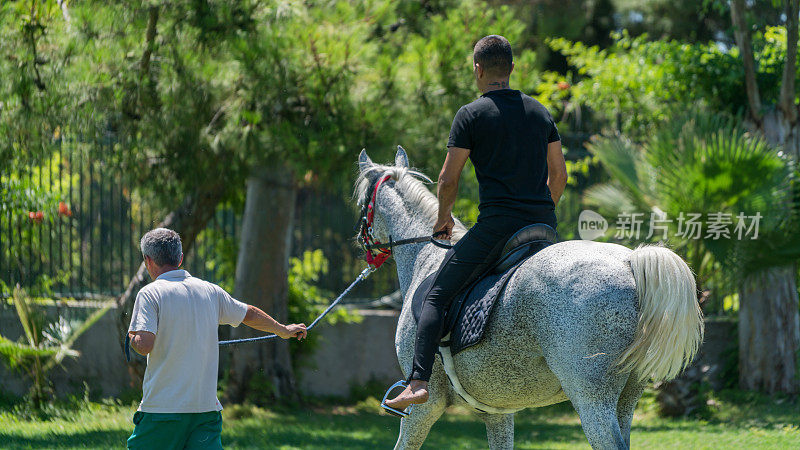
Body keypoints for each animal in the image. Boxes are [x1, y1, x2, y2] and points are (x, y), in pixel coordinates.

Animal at [354, 149, 704, 450]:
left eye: (360, 202)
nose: (362, 244)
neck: (425, 257)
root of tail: (629, 261)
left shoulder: (425, 407)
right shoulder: (497, 412)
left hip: (591, 398)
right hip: (627, 396)